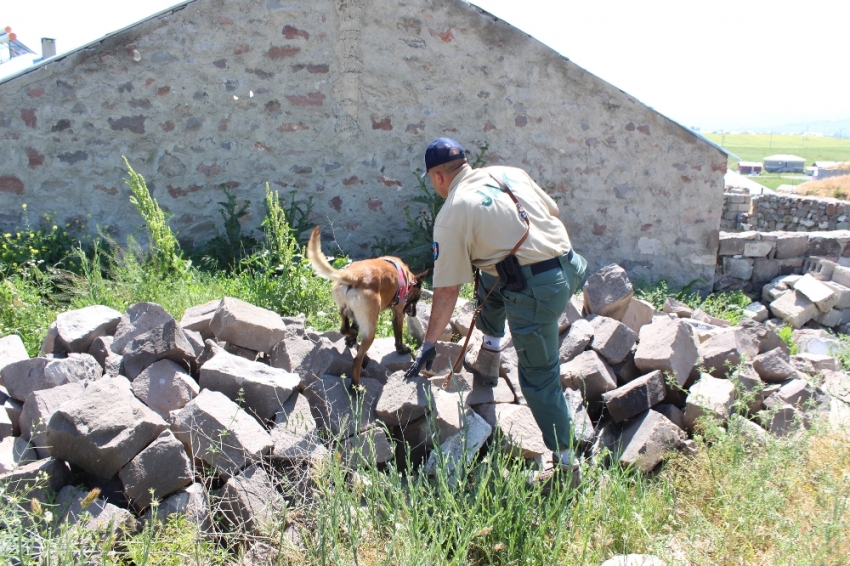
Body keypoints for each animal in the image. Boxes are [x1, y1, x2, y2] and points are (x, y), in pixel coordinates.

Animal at [304, 229, 428, 388]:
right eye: (416, 299)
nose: (414, 313)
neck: (406, 276)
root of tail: (353, 276)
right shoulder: (399, 314)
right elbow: (398, 336)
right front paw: (402, 349)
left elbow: (353, 326)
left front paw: (351, 339)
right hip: (371, 330)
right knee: (357, 359)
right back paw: (355, 387)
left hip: (349, 311)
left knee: (344, 326)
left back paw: (351, 335)